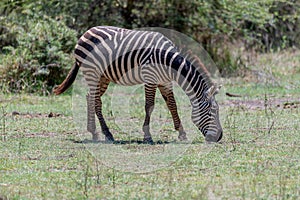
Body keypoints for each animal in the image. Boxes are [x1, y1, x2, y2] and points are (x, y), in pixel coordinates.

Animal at [54, 25, 223, 143]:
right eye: (211, 112)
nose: (219, 137)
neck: (168, 61)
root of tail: (86, 33)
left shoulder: (165, 82)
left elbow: (172, 105)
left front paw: (182, 133)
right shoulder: (150, 78)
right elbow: (149, 106)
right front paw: (147, 136)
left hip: (103, 76)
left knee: (90, 97)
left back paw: (94, 132)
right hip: (92, 72)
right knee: (96, 101)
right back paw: (107, 133)